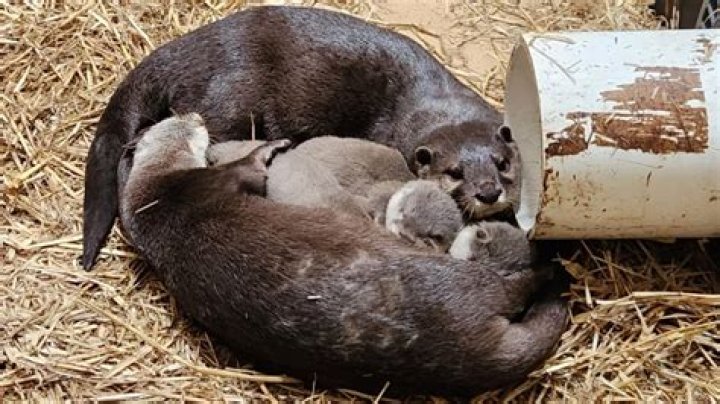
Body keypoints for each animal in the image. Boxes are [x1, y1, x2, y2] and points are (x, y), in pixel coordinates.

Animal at [82, 5, 518, 270]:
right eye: (454, 172)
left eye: (502, 163)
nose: (488, 192)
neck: (438, 105)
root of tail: (186, 50)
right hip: (227, 104)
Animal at [119, 114, 567, 397]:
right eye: (187, 125)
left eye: (177, 116)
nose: (196, 114)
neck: (154, 197)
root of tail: (468, 349)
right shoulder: (214, 181)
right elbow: (252, 167)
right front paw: (274, 144)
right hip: (463, 283)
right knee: (519, 285)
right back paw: (552, 270)